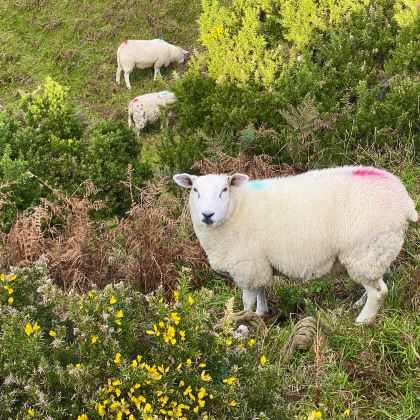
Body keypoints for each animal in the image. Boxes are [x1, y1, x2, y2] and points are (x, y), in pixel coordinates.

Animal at [173, 166, 416, 324]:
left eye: (224, 189)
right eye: (195, 190)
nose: (207, 215)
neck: (236, 208)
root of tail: (405, 201)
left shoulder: (246, 264)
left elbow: (247, 299)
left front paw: (245, 319)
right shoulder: (259, 262)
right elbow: (261, 289)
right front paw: (262, 313)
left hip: (365, 249)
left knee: (379, 292)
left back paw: (362, 320)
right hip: (375, 252)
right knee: (376, 283)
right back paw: (358, 305)